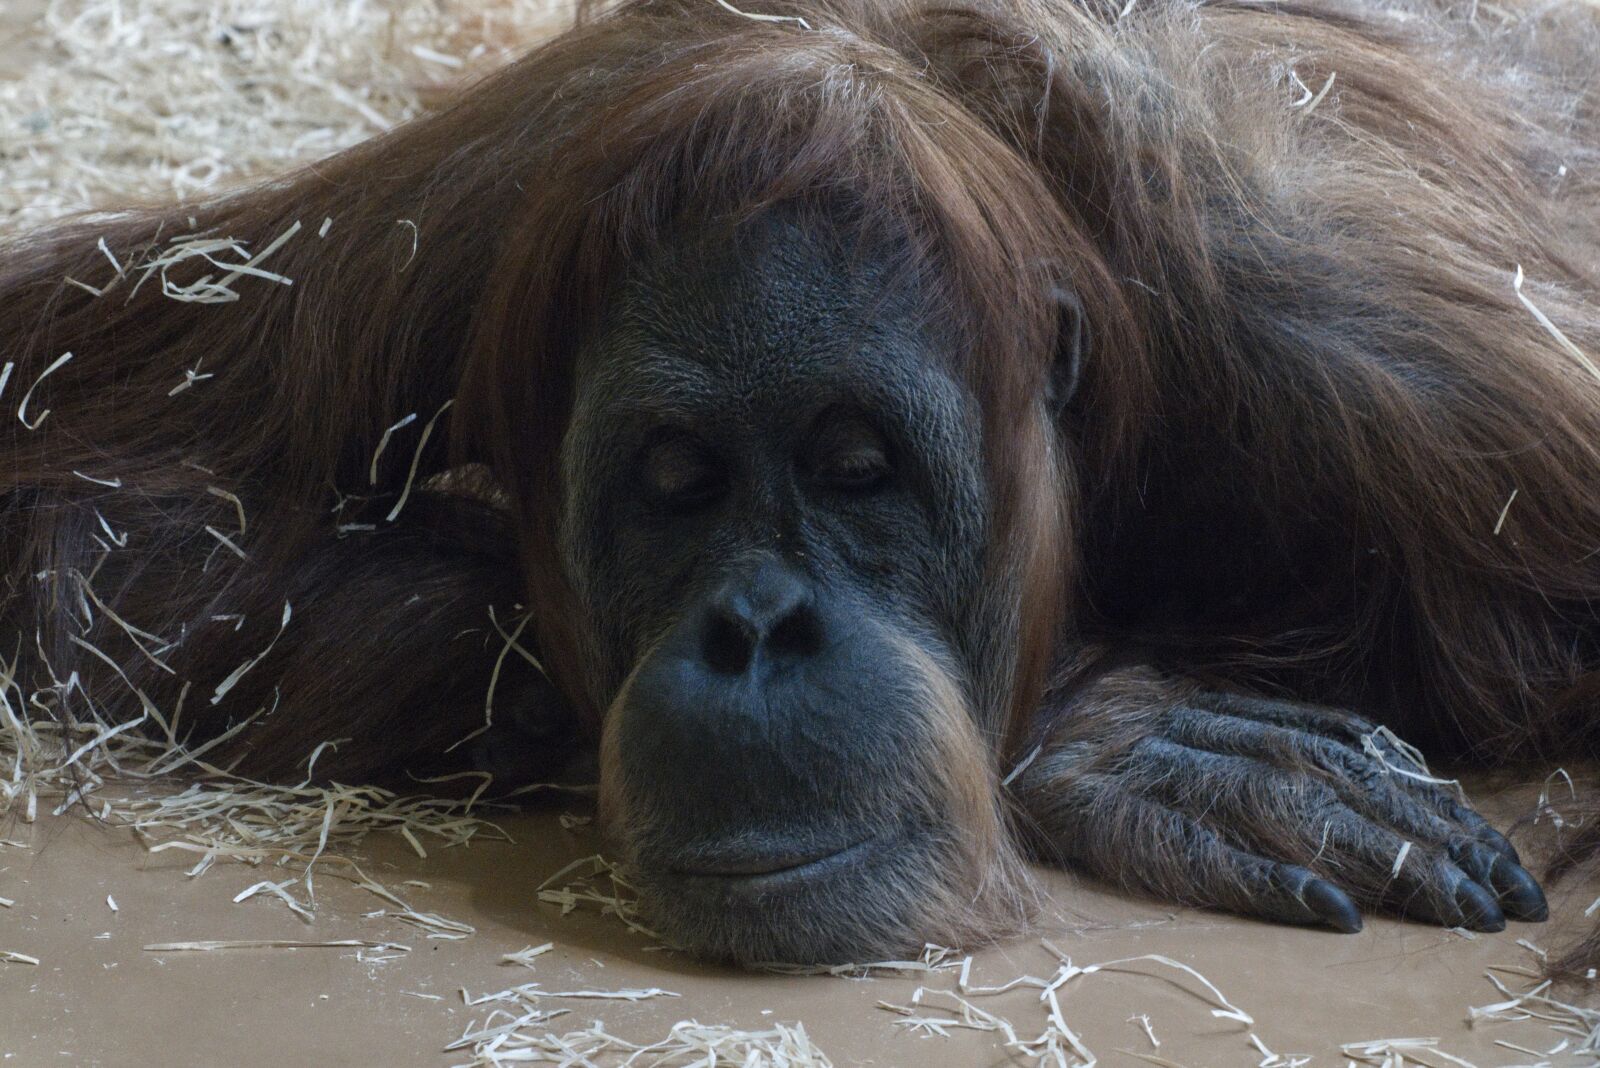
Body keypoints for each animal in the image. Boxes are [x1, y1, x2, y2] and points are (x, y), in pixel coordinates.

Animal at [1, 0, 1597, 965]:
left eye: (857, 472)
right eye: (678, 483)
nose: (755, 629)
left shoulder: (1402, 361)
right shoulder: (451, 212)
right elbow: (81, 479)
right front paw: (1114, 735)